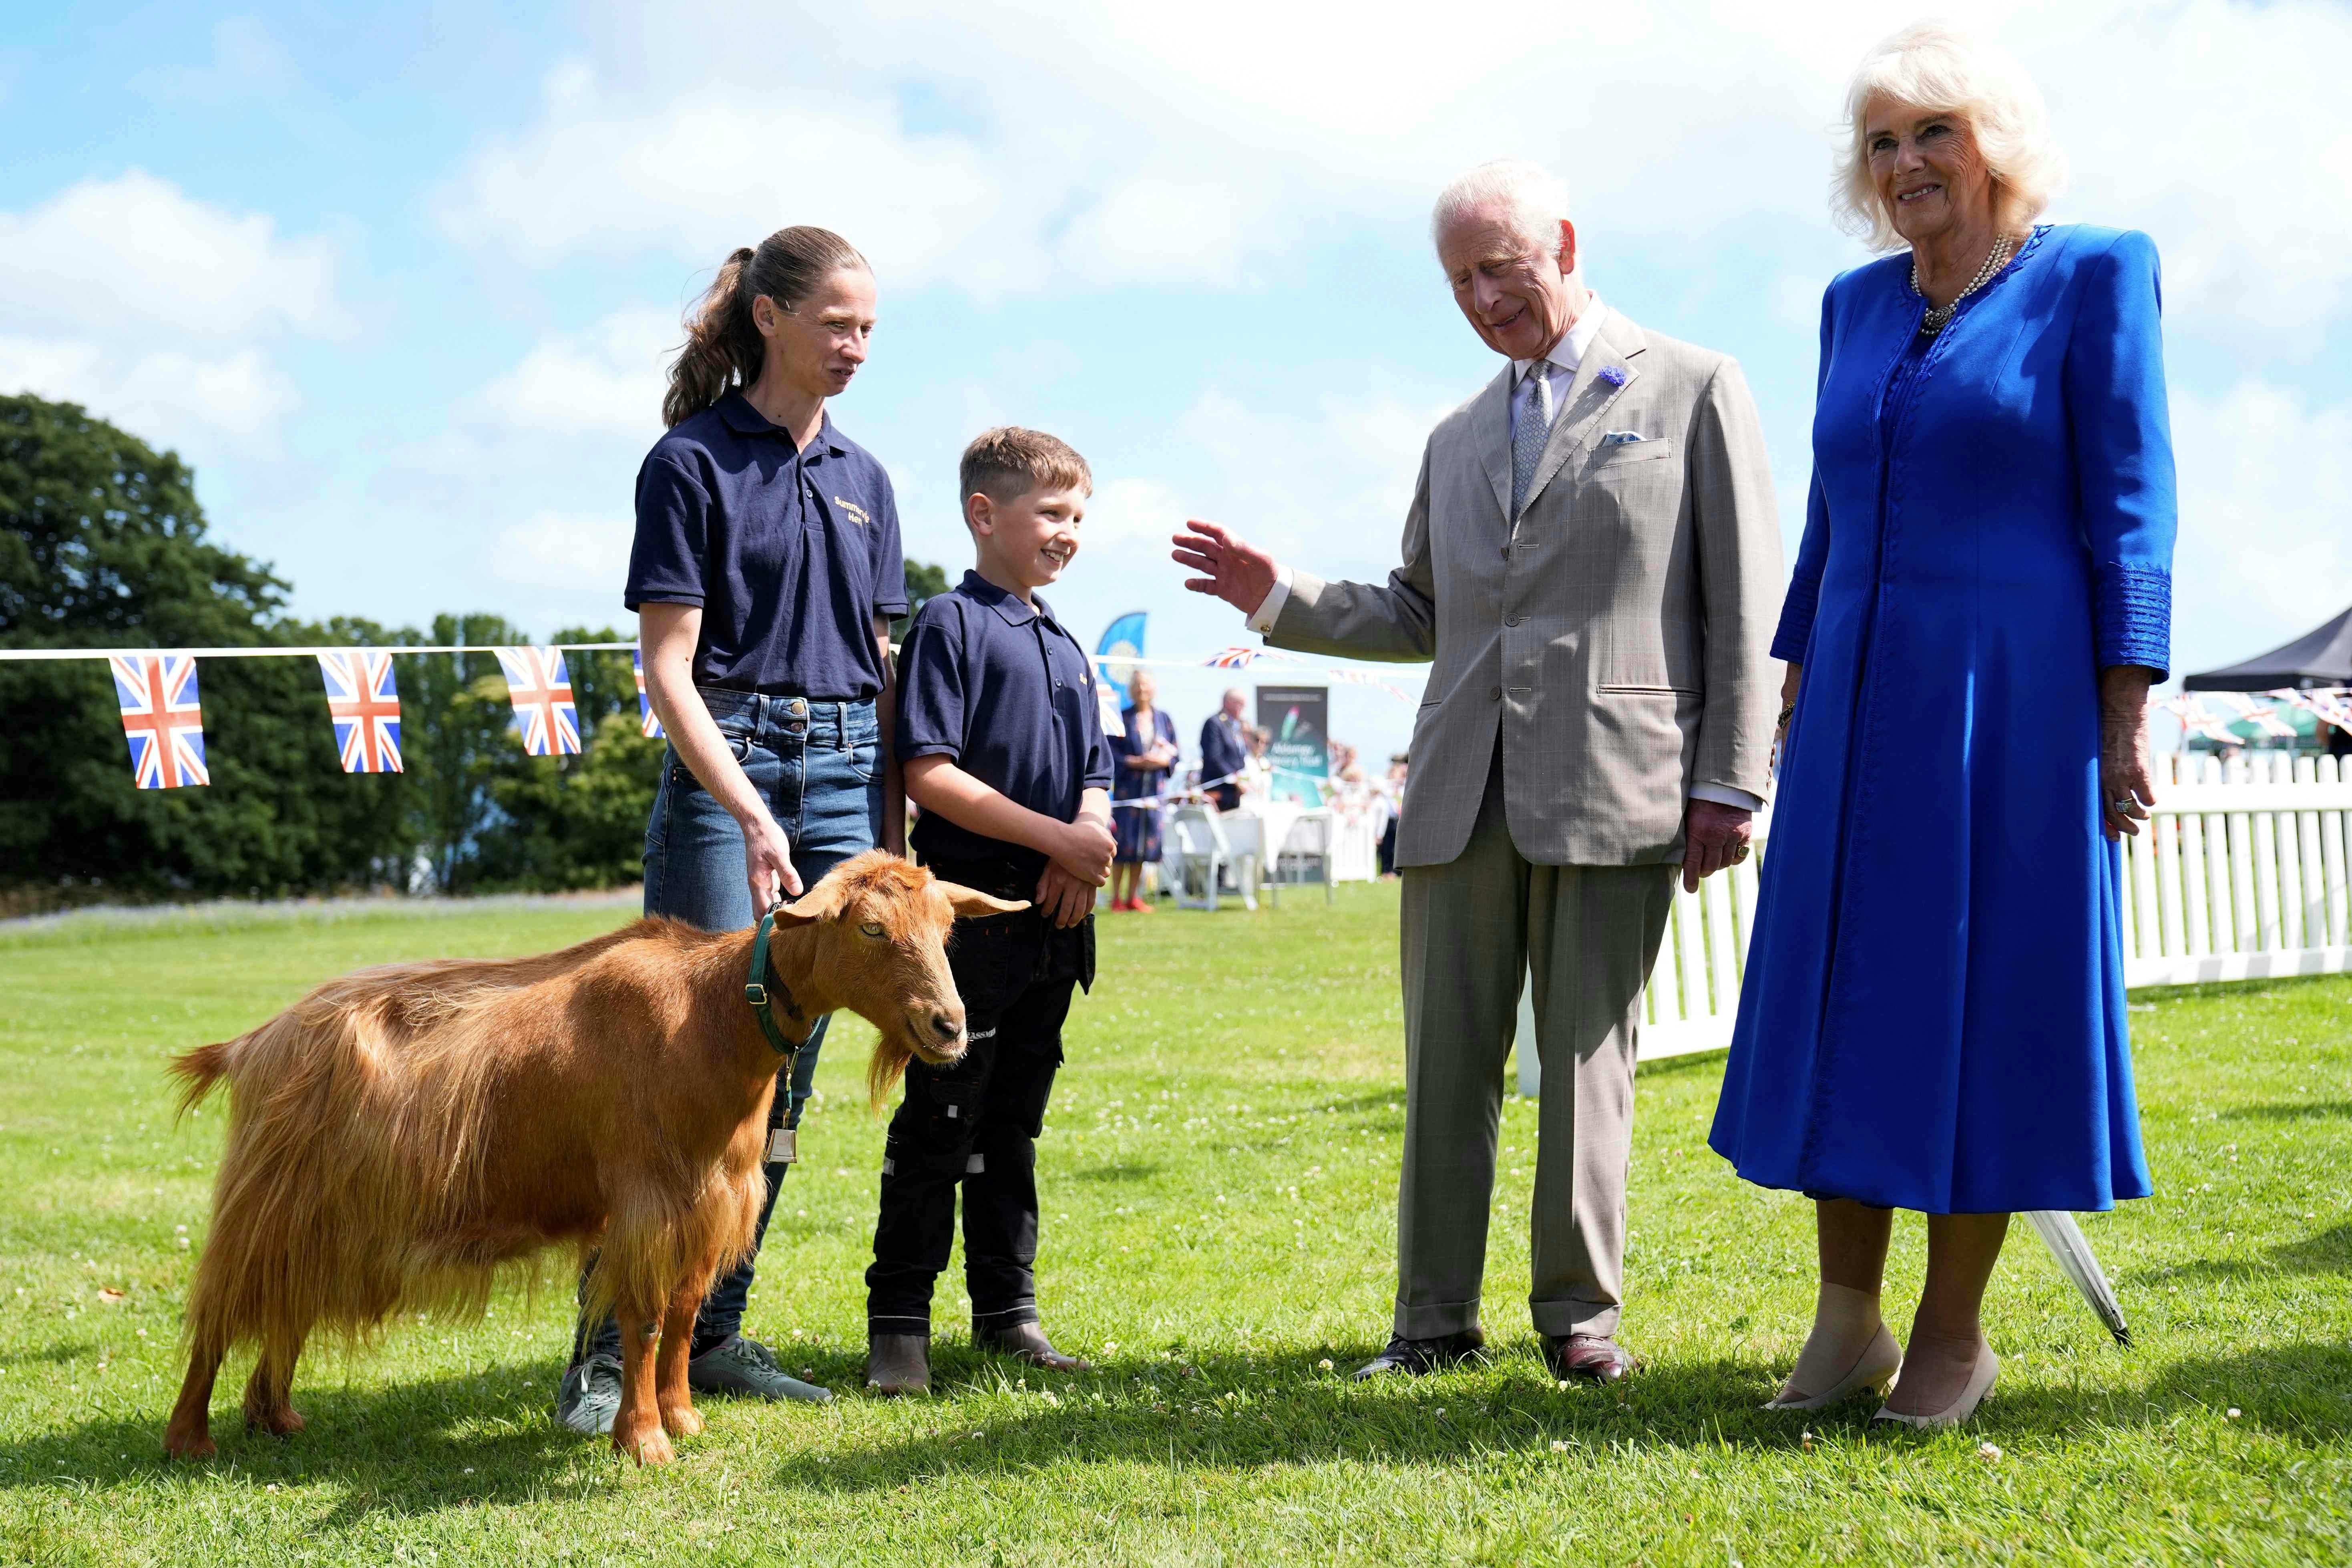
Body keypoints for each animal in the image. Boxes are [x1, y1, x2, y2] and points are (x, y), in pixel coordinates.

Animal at [156, 851, 1021, 1467]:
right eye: (870, 927)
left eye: (947, 926)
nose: (947, 1025)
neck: (711, 1016)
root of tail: (253, 1042)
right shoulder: (646, 1201)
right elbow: (641, 1319)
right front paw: (644, 1440)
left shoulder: (713, 1203)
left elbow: (684, 1313)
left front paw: (684, 1416)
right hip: (268, 1195)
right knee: (222, 1306)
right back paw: (190, 1436)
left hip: (324, 1212)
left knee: (287, 1302)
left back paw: (275, 1414)